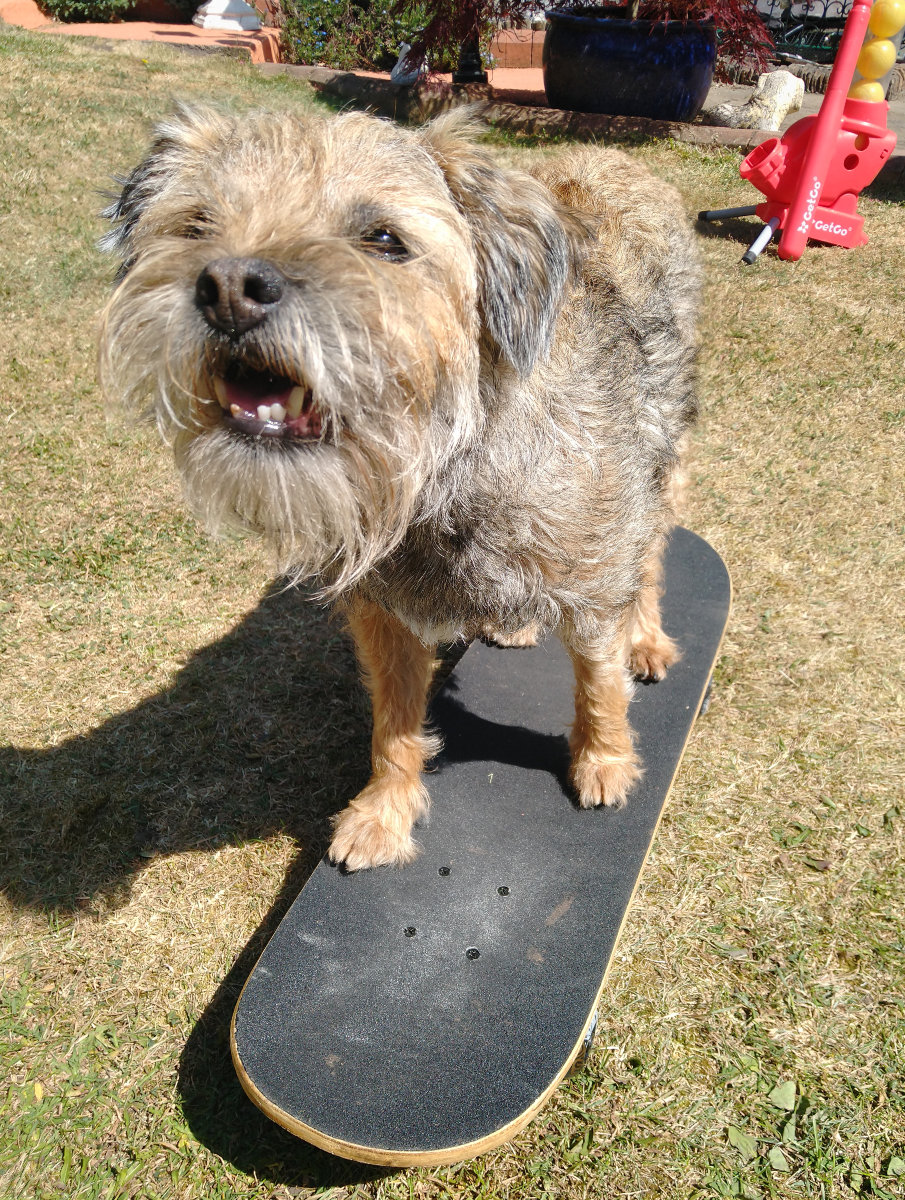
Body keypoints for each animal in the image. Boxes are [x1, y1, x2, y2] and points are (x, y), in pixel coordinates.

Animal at [102, 103, 700, 873]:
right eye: (197, 224)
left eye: (384, 239)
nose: (227, 287)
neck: (440, 475)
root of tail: (616, 157)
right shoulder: (381, 611)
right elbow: (391, 719)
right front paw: (384, 811)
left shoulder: (591, 574)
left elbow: (599, 680)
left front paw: (605, 760)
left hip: (666, 446)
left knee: (651, 549)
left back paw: (646, 637)